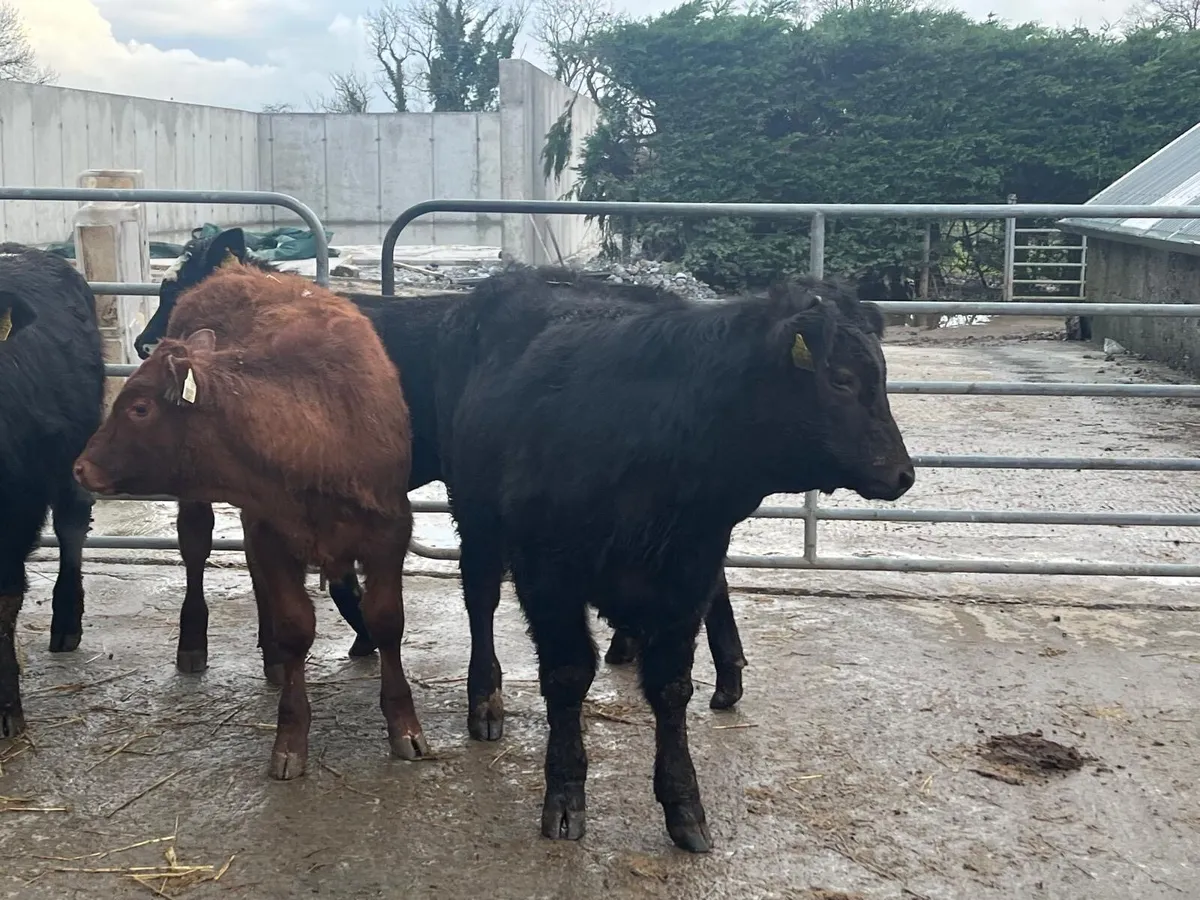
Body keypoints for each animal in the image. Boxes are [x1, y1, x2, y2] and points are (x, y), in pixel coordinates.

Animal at [75, 263, 425, 778]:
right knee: (196, 548)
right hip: (198, 500)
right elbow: (296, 625)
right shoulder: (273, 533)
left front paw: (405, 726)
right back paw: (197, 643)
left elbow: (386, 621)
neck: (319, 426)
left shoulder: (388, 534)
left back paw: (271, 656)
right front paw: (290, 738)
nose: (82, 467)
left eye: (139, 408)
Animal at [441, 276, 914, 852]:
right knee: (480, 600)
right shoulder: (548, 575)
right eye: (842, 380)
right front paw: (565, 793)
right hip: (474, 514)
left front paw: (684, 804)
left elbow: (671, 687)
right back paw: (485, 700)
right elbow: (567, 675)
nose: (903, 474)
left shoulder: (688, 572)